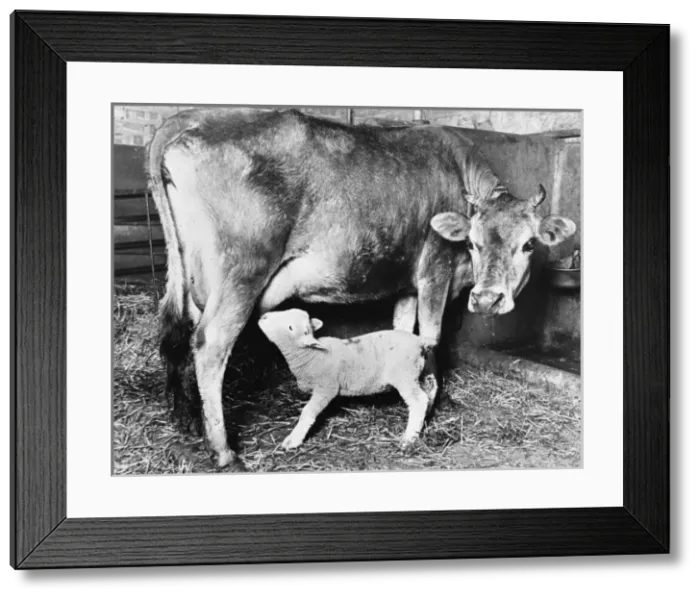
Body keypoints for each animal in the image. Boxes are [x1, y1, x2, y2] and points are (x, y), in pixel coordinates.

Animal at [257, 308, 438, 451]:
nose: (263, 317)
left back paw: (409, 438)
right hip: (418, 372)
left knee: (419, 400)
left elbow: (307, 412)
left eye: (290, 328)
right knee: (429, 390)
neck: (311, 355)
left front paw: (292, 440)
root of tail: (419, 340)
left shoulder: (327, 387)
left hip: (404, 375)